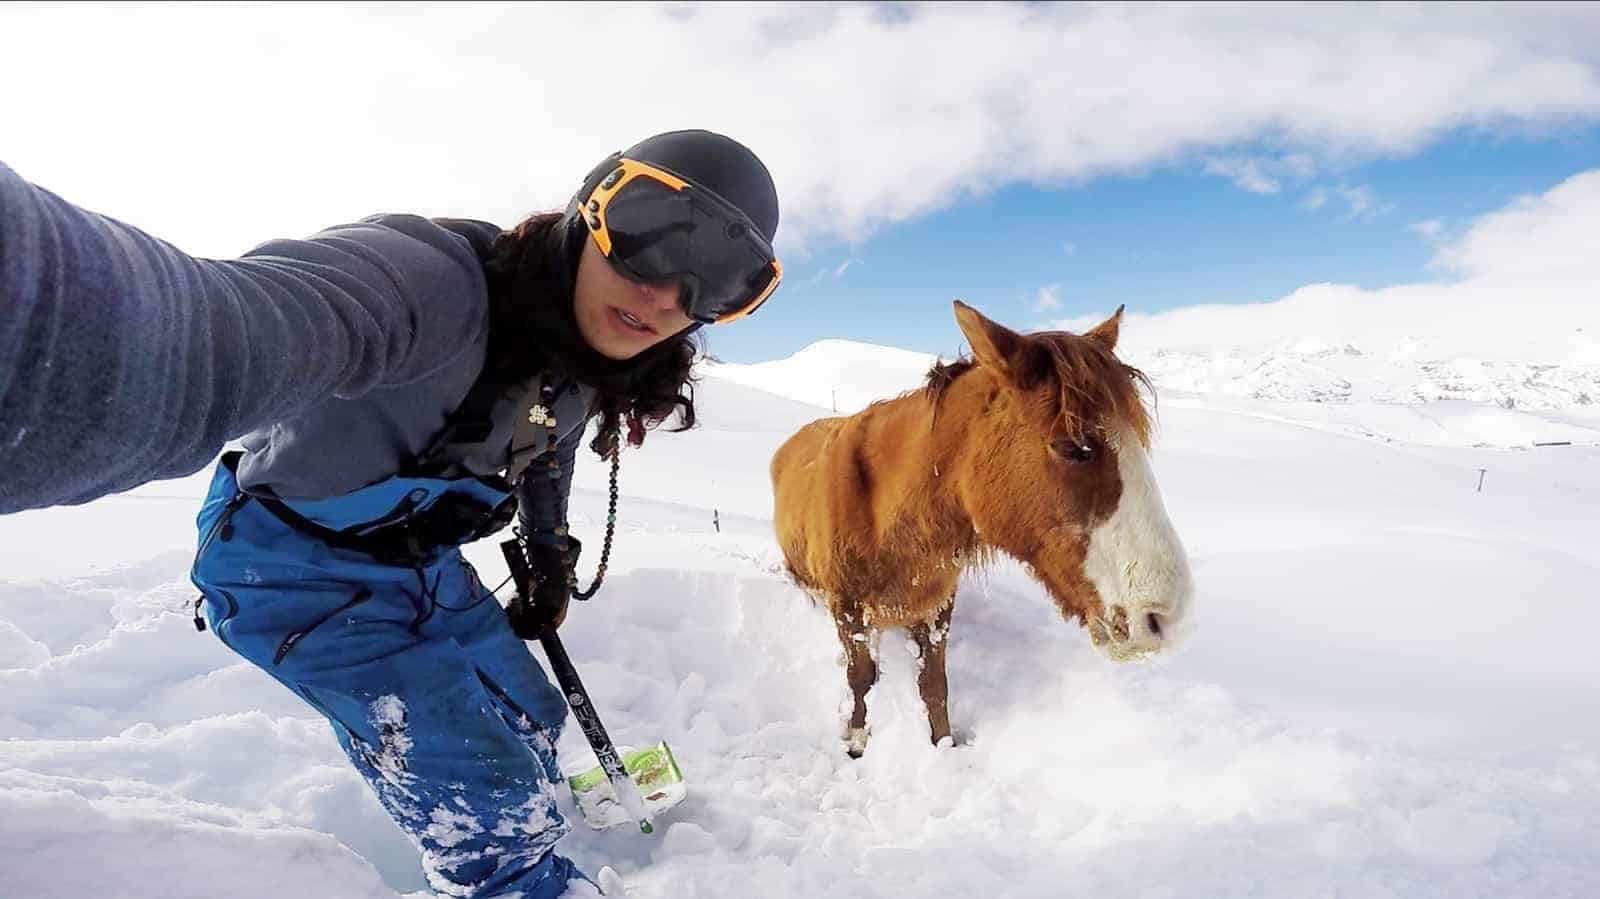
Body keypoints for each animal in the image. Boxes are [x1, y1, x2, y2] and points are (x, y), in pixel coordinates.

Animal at [770, 301, 1193, 757]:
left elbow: (933, 685)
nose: (1163, 617)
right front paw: (857, 743)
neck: (886, 519)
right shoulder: (849, 611)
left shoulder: (936, 609)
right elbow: (861, 679)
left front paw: (943, 745)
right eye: (1071, 446)